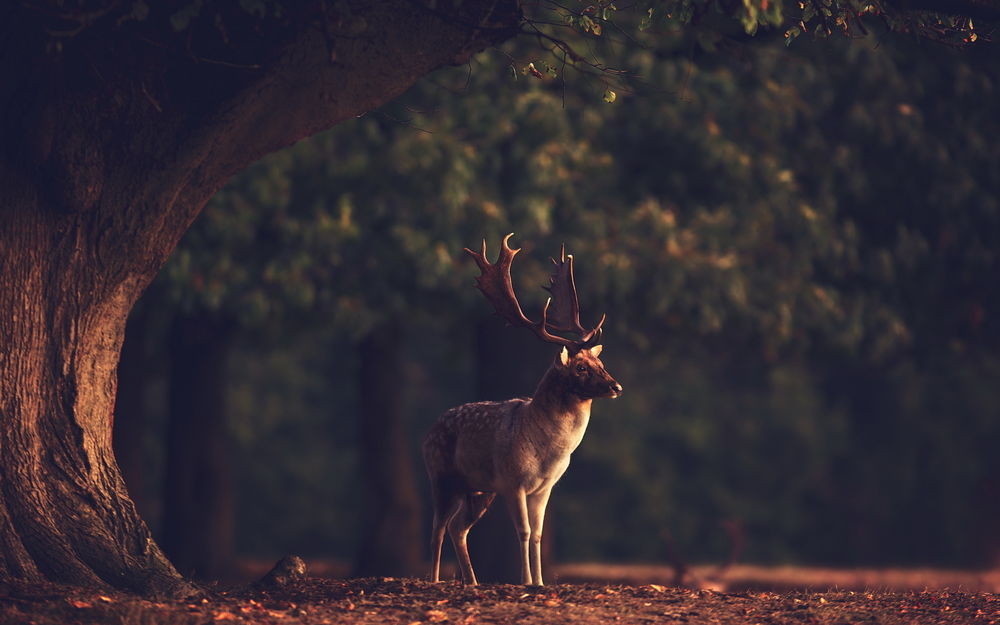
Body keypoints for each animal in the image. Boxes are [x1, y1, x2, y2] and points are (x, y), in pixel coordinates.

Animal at [423, 233, 622, 586]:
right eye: (581, 368)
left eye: (601, 363)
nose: (616, 387)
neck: (548, 453)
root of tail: (428, 432)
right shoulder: (513, 480)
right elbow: (524, 531)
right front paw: (526, 581)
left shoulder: (544, 487)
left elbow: (539, 534)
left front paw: (540, 582)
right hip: (441, 475)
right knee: (438, 530)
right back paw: (434, 580)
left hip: (478, 489)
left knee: (458, 528)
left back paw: (473, 582)